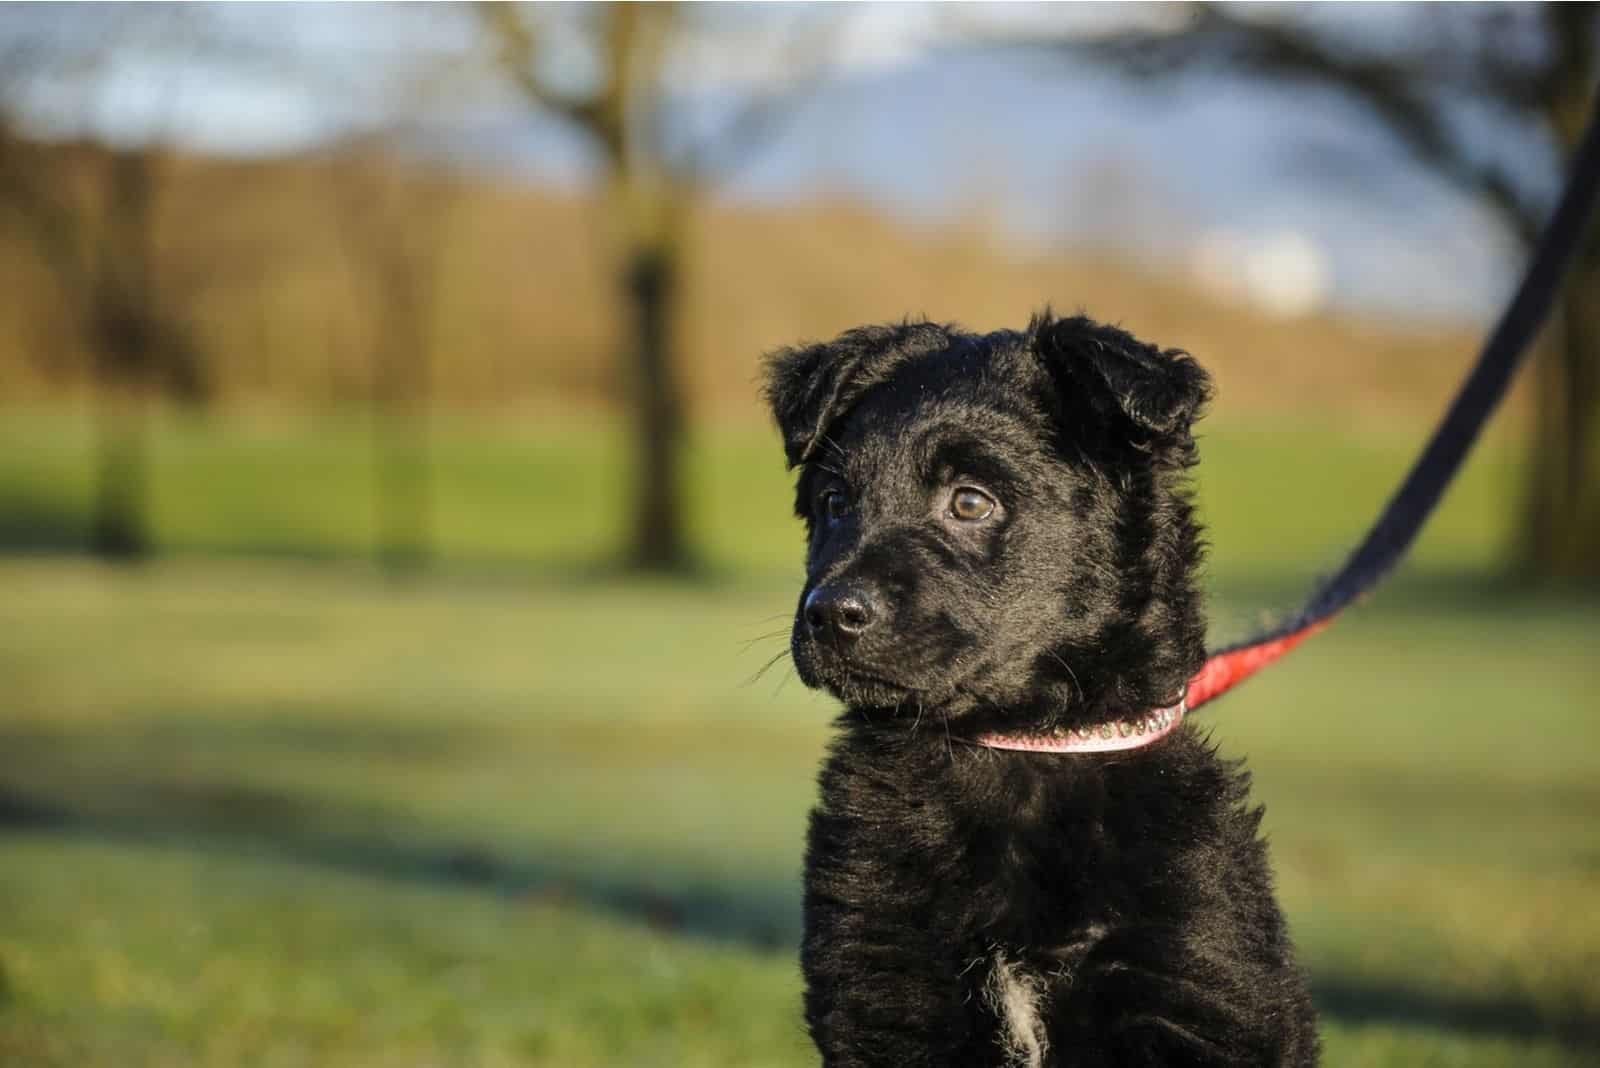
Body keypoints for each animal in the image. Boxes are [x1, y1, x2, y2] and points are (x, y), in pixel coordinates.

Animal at [768, 314, 1318, 1068]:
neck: (1016, 748)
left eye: (971, 501)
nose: (829, 613)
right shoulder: (885, 992)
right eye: (834, 503)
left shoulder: (1191, 988)